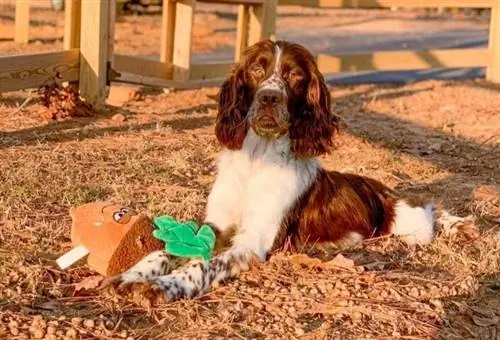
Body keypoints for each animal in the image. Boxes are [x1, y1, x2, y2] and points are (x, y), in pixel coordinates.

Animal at [107, 40, 470, 302]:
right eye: (257, 68)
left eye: (295, 75)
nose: (269, 98)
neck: (258, 159)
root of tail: (382, 189)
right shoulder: (215, 223)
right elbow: (164, 250)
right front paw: (134, 275)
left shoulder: (253, 241)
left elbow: (204, 262)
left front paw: (167, 285)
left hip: (409, 227)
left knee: (430, 208)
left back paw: (458, 225)